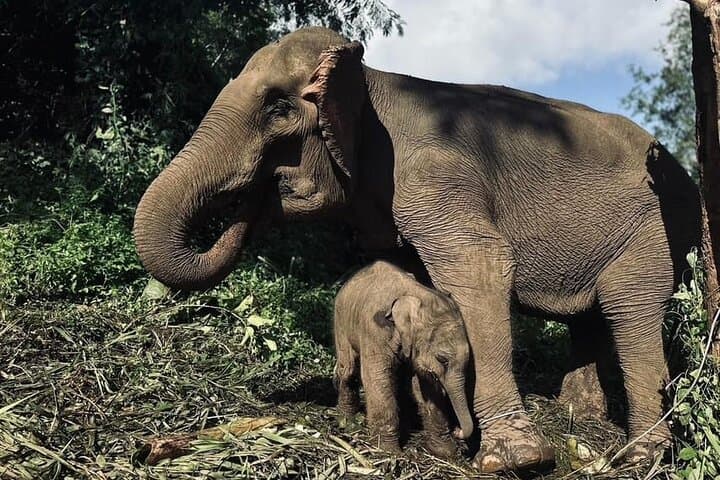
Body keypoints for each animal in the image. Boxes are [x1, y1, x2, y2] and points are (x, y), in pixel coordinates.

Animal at [333, 260, 473, 458]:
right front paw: (388, 451)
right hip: (341, 323)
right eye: (442, 359)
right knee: (348, 369)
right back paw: (347, 421)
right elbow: (378, 379)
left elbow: (426, 386)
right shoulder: (375, 330)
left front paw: (445, 452)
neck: (418, 294)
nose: (457, 430)